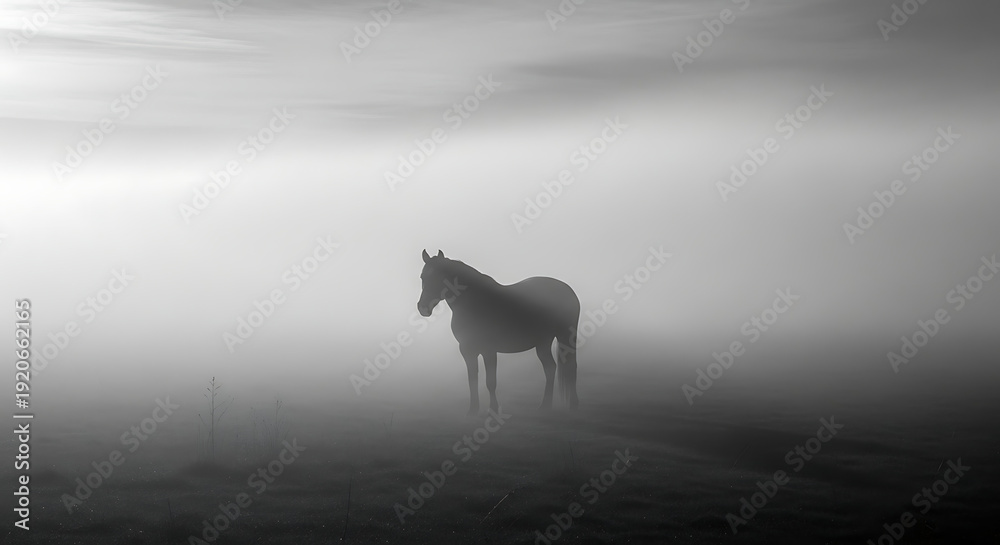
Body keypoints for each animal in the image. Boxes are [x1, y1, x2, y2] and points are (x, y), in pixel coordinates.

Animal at [416, 249, 580, 414]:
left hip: (565, 336)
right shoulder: (467, 350)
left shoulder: (489, 350)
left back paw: (573, 406)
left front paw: (493, 409)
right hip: (543, 342)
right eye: (423, 277)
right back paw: (545, 406)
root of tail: (569, 290)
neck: (473, 303)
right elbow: (472, 380)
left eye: (439, 277)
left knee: (570, 367)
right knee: (550, 369)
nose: (423, 307)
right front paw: (473, 410)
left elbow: (490, 382)